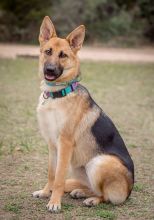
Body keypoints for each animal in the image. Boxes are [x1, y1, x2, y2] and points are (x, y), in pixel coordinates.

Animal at [31, 16, 134, 212]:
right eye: (48, 52)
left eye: (63, 55)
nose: (49, 70)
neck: (58, 95)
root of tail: (129, 190)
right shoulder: (52, 145)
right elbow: (51, 173)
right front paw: (46, 192)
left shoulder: (65, 143)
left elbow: (59, 178)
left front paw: (54, 202)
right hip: (79, 167)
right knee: (90, 187)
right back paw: (80, 192)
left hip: (98, 163)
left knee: (106, 196)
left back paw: (92, 200)